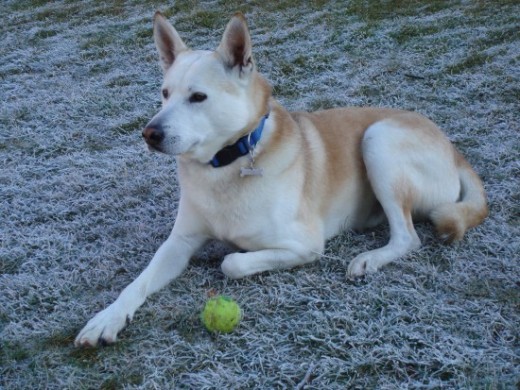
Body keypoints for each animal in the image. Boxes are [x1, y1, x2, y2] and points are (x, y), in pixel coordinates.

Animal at [75, 12, 490, 348]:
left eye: (198, 97)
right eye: (164, 94)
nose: (149, 133)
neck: (225, 167)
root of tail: (453, 149)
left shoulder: (305, 245)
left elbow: (233, 262)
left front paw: (230, 254)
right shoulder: (179, 242)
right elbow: (138, 282)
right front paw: (106, 318)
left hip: (378, 139)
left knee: (408, 236)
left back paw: (369, 259)